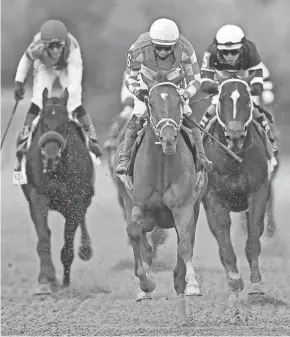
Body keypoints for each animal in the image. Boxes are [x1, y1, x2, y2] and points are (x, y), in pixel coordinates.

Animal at [21, 87, 94, 294]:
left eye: (64, 123)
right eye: (42, 122)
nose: (51, 154)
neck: (57, 169)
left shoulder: (75, 201)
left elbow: (68, 244)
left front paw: (65, 283)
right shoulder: (38, 196)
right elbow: (43, 239)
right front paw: (46, 280)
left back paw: (85, 250)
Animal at [113, 81, 206, 322]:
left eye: (178, 101)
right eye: (152, 104)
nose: (168, 138)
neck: (162, 164)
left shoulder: (183, 208)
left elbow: (185, 244)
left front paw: (192, 284)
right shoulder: (142, 209)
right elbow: (134, 233)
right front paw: (146, 283)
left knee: (186, 242)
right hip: (129, 203)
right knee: (141, 242)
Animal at [202, 78, 276, 302]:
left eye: (247, 101)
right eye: (221, 100)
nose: (234, 136)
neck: (233, 159)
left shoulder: (258, 191)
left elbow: (253, 235)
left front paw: (256, 284)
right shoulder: (213, 197)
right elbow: (223, 230)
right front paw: (234, 280)